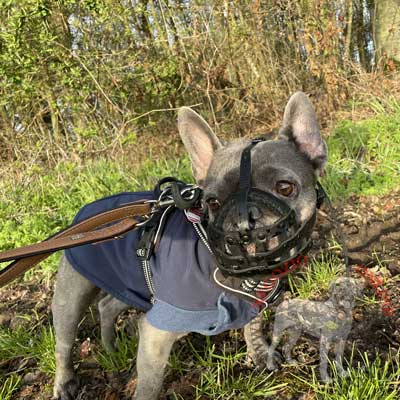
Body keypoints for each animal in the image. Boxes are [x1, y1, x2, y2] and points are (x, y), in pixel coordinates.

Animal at [51, 92, 326, 398]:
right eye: (213, 202)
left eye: (285, 188)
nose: (245, 219)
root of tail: (87, 212)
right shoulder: (155, 336)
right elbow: (149, 386)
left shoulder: (253, 303)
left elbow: (251, 328)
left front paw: (259, 353)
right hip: (72, 294)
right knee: (64, 341)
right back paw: (64, 382)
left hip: (130, 282)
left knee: (107, 306)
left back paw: (110, 347)